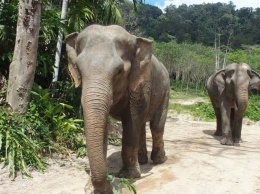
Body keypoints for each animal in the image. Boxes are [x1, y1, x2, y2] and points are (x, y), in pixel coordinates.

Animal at [64, 25, 171, 193]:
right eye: (78, 69)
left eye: (119, 71)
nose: (109, 183)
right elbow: (104, 130)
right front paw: (94, 188)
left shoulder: (138, 86)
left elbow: (131, 124)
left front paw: (128, 176)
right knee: (142, 126)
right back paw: (142, 160)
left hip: (165, 91)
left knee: (156, 126)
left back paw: (159, 160)